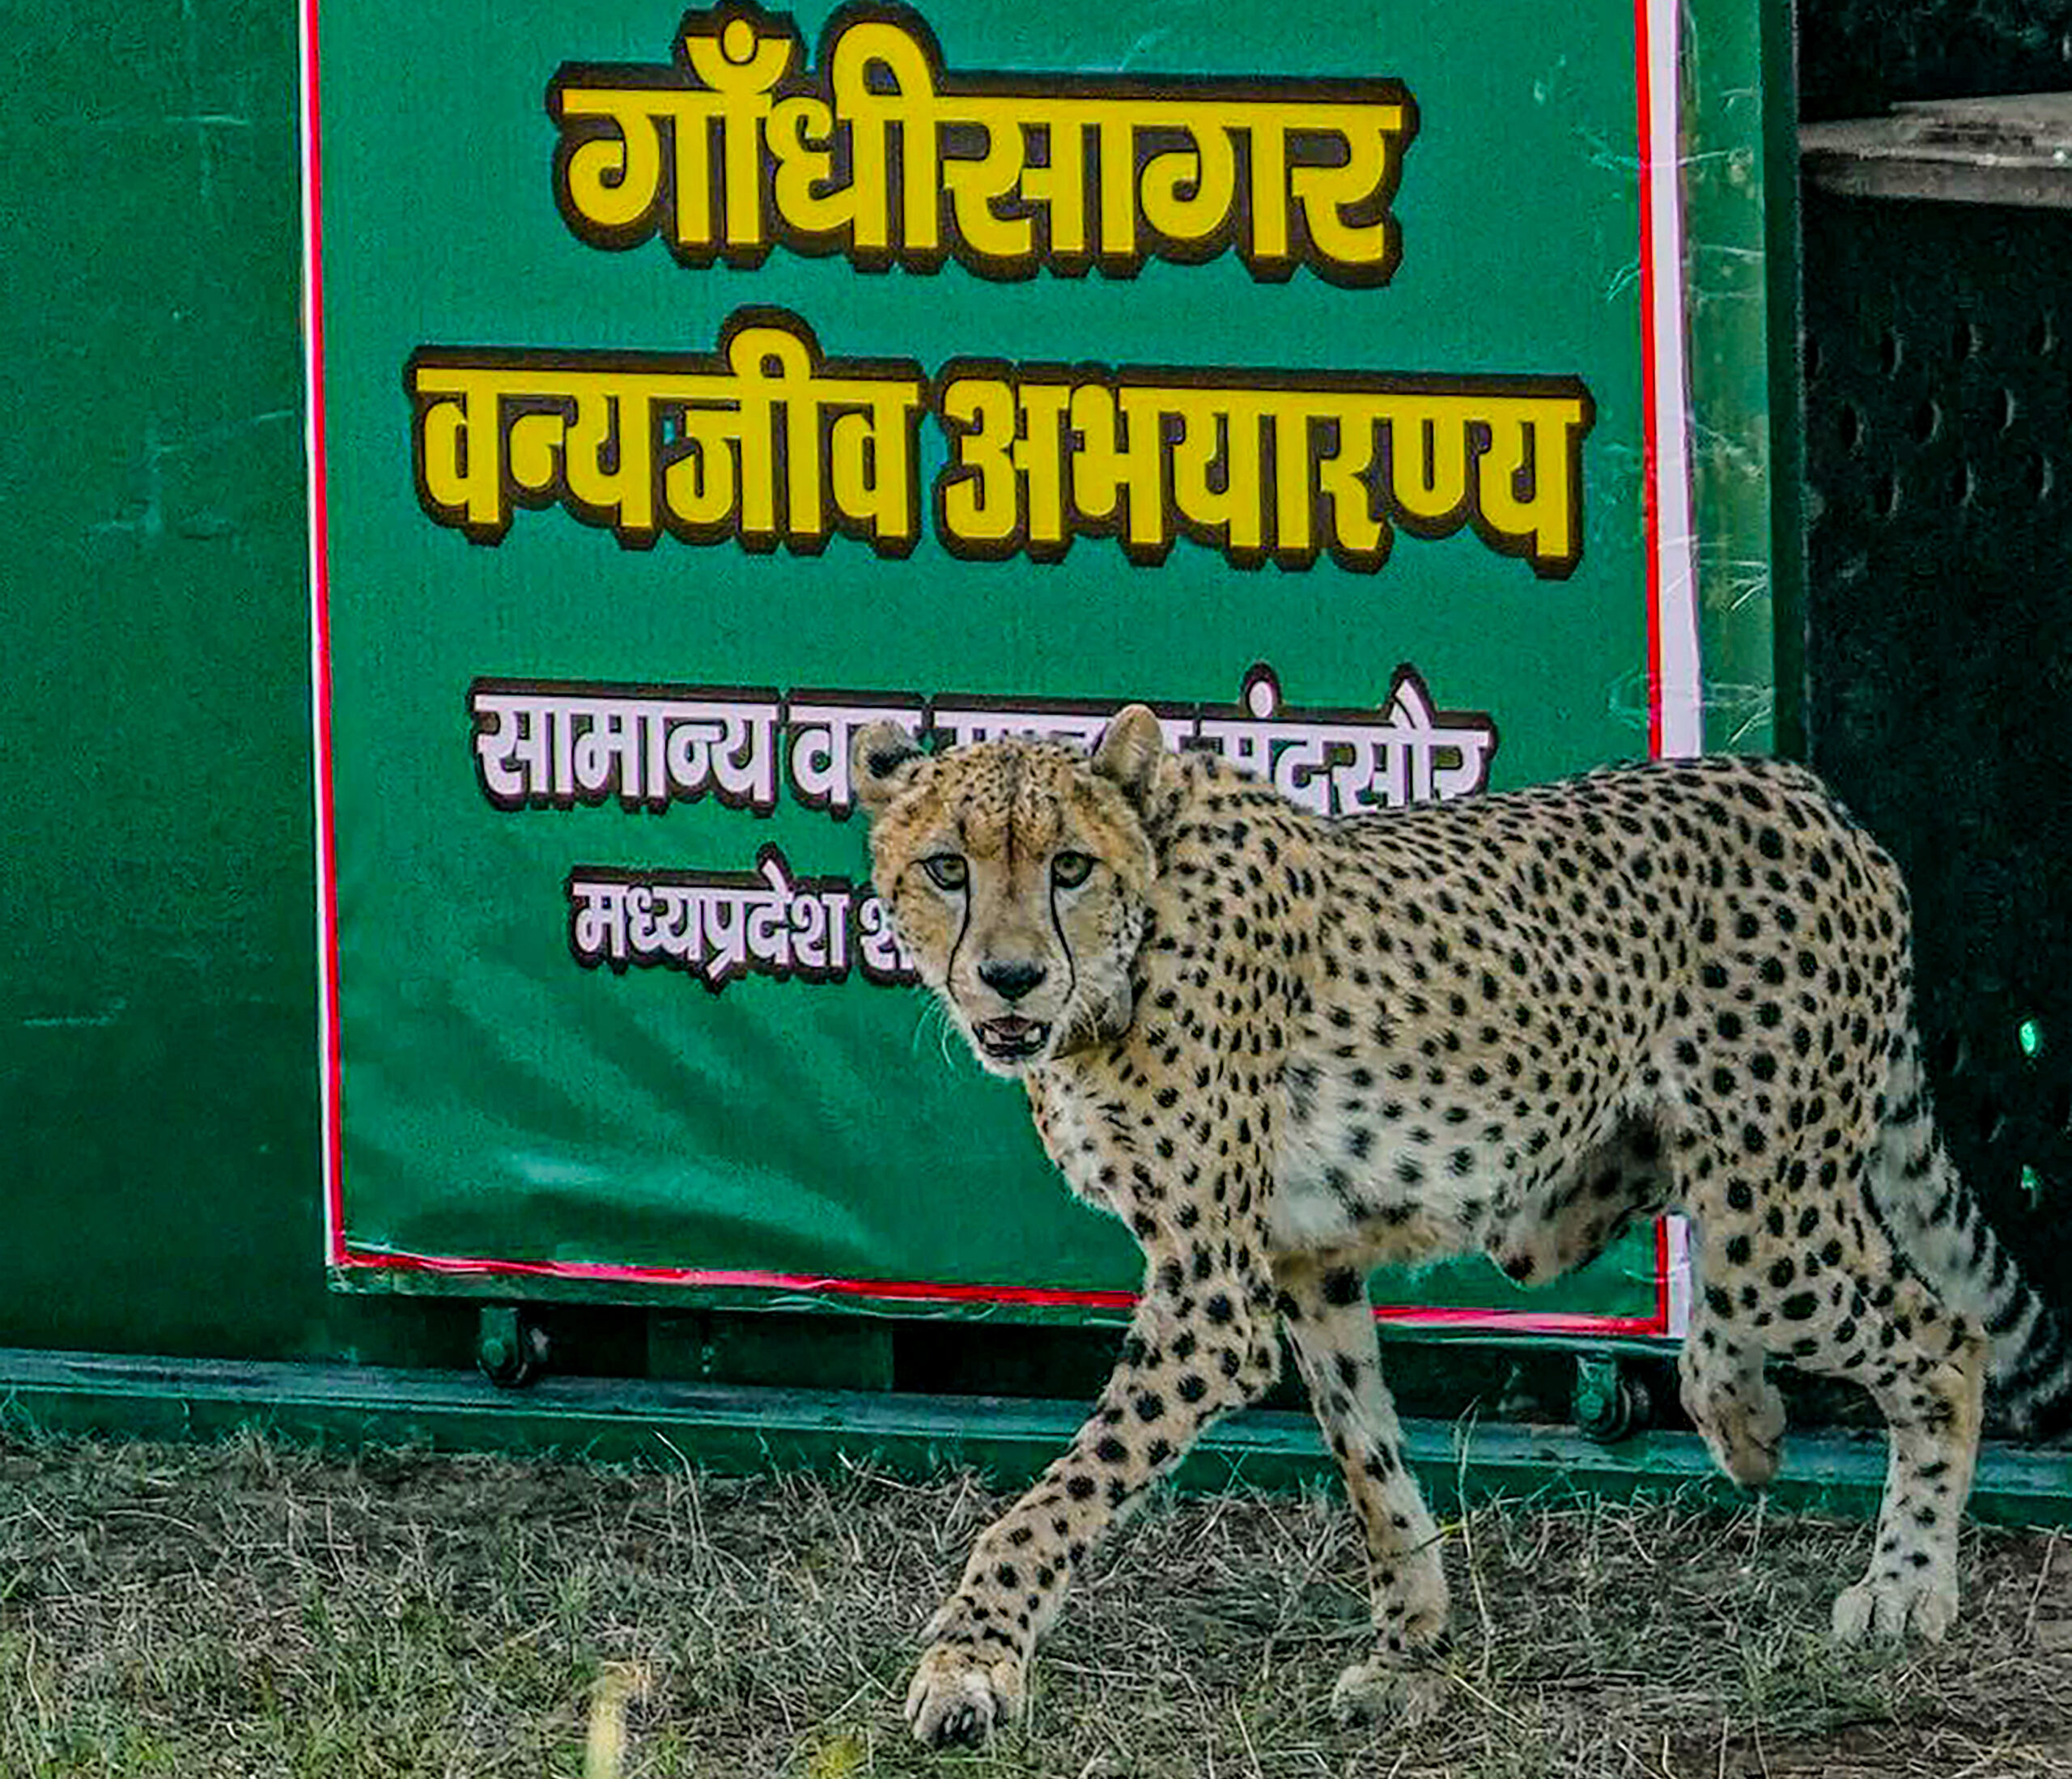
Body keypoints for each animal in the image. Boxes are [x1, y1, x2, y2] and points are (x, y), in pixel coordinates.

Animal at [849, 704, 2072, 1748]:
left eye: (1069, 866)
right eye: (947, 867)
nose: (1011, 977)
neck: (1127, 950)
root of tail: (1798, 785)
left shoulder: (1212, 1296)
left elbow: (1053, 1498)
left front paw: (971, 1660)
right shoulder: (1307, 1260)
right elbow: (1372, 1463)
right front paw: (1412, 1649)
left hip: (1769, 1208)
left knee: (1942, 1335)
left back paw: (1905, 1577)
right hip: (1601, 1200)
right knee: (1774, 1277)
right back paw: (1744, 1413)